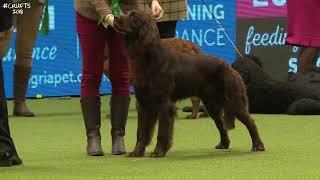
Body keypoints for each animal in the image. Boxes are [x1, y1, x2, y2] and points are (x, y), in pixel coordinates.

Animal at [114, 9, 264, 157]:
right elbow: (141, 132)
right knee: (221, 124)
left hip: (233, 101)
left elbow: (162, 131)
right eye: (127, 13)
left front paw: (159, 151)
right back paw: (224, 144)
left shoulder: (164, 103)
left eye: (133, 16)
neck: (148, 58)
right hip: (212, 105)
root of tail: (230, 67)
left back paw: (258, 145)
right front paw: (137, 152)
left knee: (250, 122)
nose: (115, 17)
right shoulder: (144, 103)